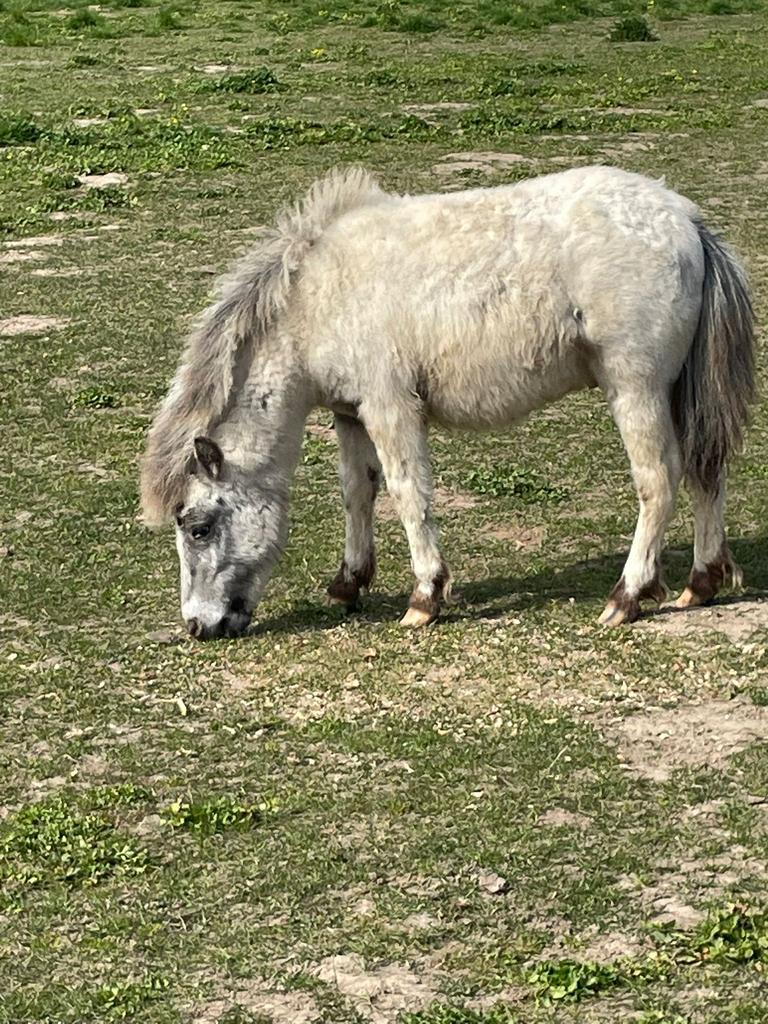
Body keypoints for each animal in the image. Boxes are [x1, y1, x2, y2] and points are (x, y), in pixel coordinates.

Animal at [140, 165, 755, 640]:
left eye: (197, 528)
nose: (198, 626)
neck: (316, 298)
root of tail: (688, 222)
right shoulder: (349, 414)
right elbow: (357, 492)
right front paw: (348, 584)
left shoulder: (389, 407)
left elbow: (408, 493)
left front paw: (424, 598)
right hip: (678, 392)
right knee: (706, 472)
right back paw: (701, 583)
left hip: (636, 387)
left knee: (659, 481)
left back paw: (627, 597)